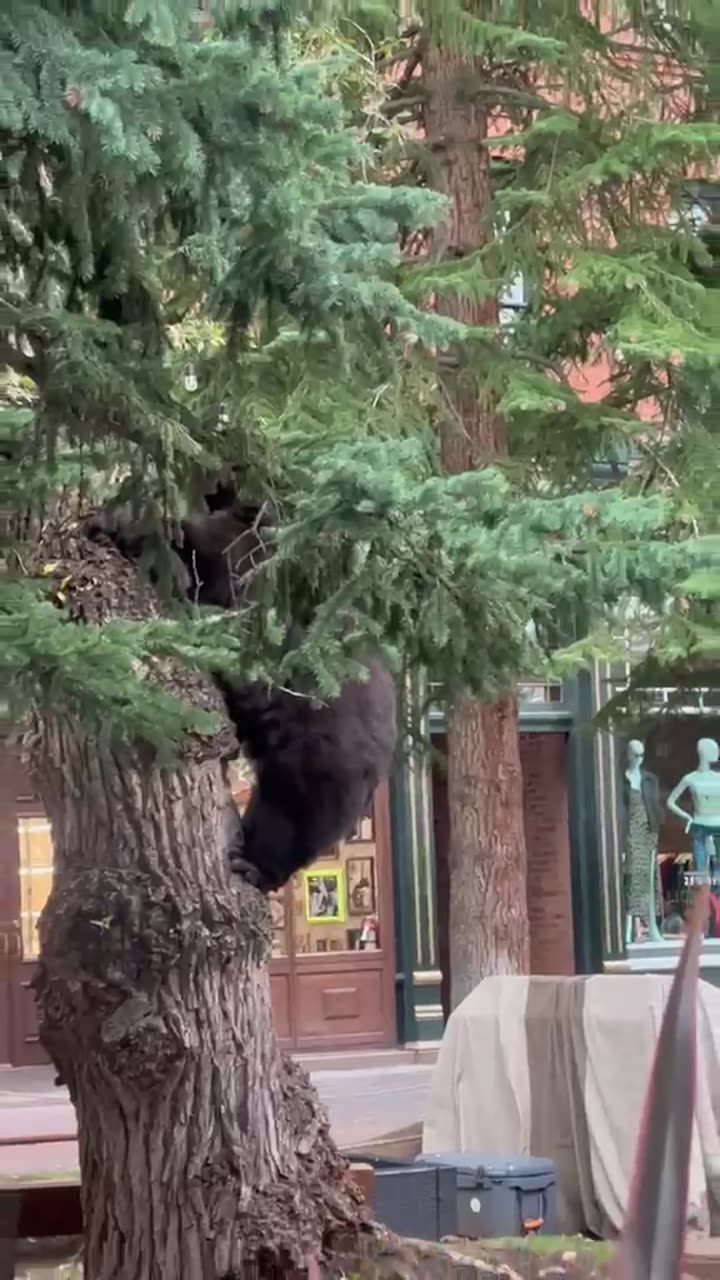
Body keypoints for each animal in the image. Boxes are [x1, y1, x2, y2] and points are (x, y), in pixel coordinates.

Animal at [83, 494, 397, 893]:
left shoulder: (241, 569)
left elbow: (192, 551)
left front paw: (117, 524)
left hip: (322, 755)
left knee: (296, 822)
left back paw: (254, 865)